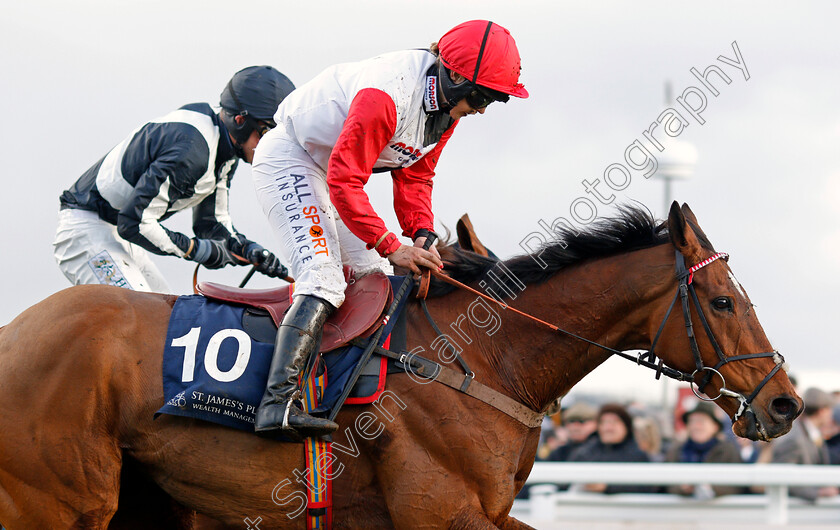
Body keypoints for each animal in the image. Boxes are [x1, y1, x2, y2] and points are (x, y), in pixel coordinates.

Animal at [0, 203, 800, 528]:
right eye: (724, 302)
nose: (786, 402)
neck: (485, 357)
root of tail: (15, 333)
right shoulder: (438, 512)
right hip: (60, 500)